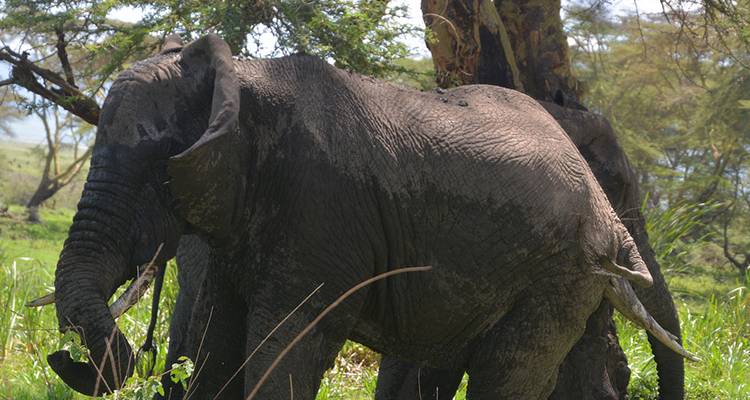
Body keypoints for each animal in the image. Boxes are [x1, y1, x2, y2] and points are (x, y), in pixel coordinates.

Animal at [47, 34, 693, 399]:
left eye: (163, 162)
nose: (66, 357)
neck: (244, 78)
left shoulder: (322, 207)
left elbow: (285, 348)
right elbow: (218, 349)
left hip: (561, 271)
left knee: (507, 373)